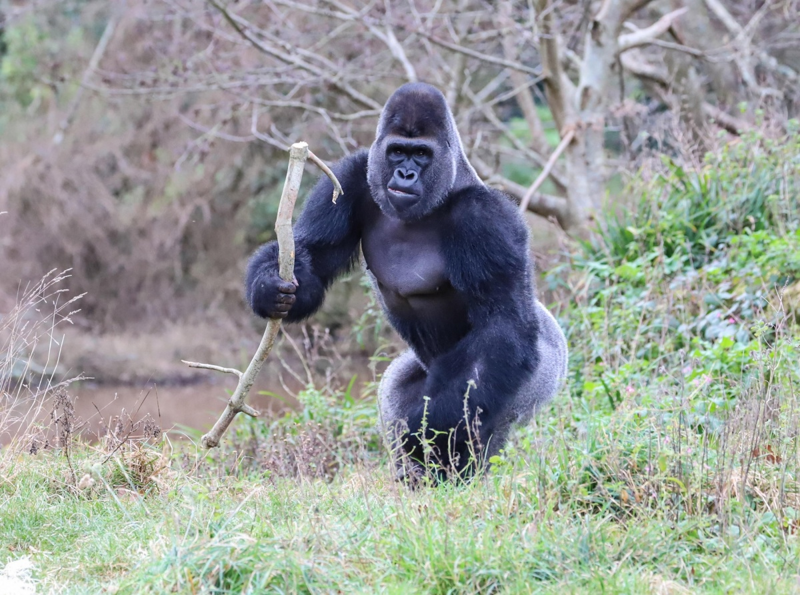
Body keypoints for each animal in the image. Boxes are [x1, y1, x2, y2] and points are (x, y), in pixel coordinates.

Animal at [247, 82, 564, 480]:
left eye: (421, 155)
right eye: (398, 151)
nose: (406, 175)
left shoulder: (488, 219)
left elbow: (503, 324)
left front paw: (429, 431)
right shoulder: (353, 174)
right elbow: (312, 255)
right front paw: (268, 287)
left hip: (542, 373)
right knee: (397, 392)